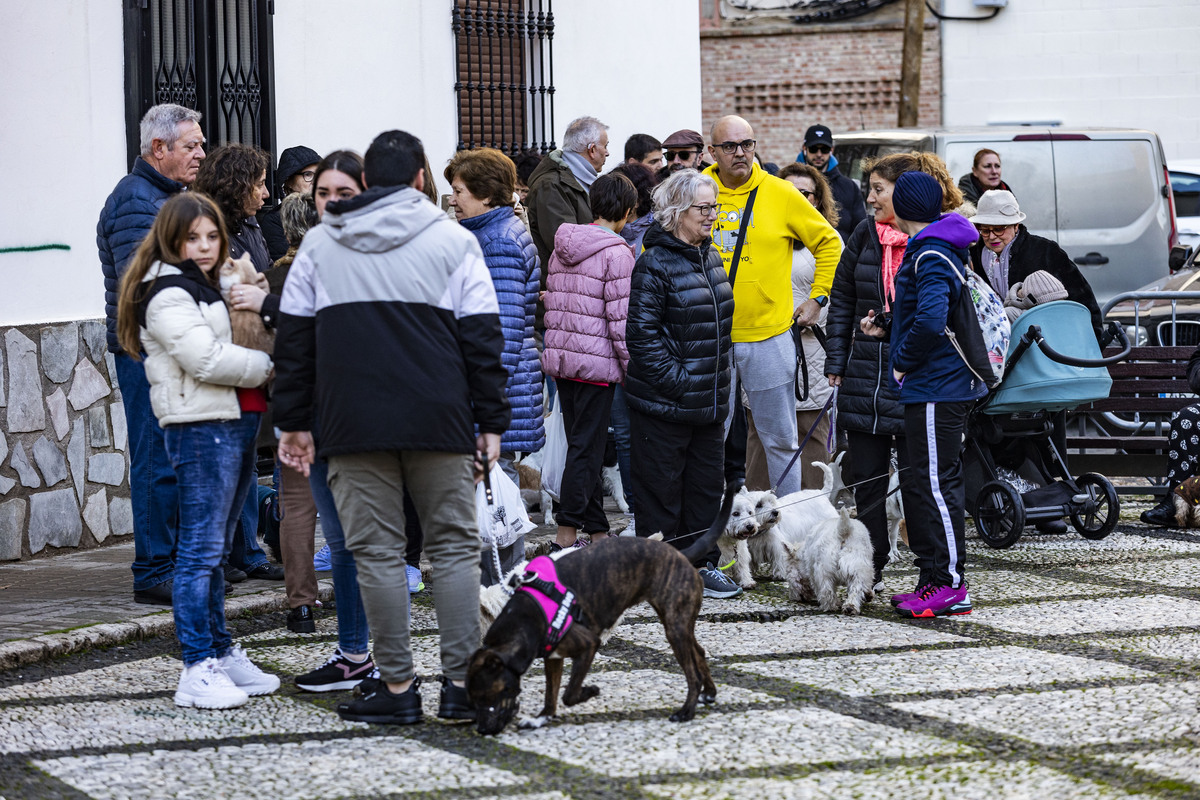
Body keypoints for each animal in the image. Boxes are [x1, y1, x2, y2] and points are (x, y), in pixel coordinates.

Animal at [463, 484, 734, 734]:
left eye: (488, 697)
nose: (483, 729)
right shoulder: (553, 654)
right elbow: (553, 692)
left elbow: (568, 691)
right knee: (698, 652)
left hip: (672, 623)